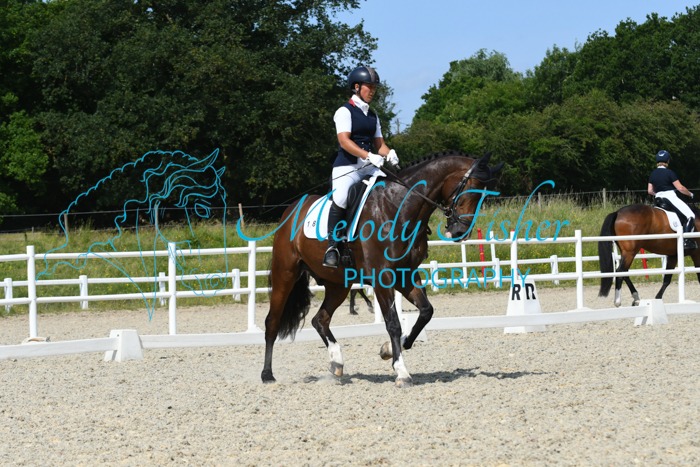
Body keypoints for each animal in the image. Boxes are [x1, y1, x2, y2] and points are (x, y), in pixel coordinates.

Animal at [256, 151, 503, 387]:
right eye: (469, 191)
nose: (460, 231)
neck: (398, 208)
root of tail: (290, 211)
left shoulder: (405, 275)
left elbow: (426, 312)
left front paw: (388, 350)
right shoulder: (382, 277)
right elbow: (393, 323)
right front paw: (401, 372)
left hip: (339, 284)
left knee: (320, 320)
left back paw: (336, 363)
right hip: (285, 273)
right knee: (272, 321)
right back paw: (267, 375)